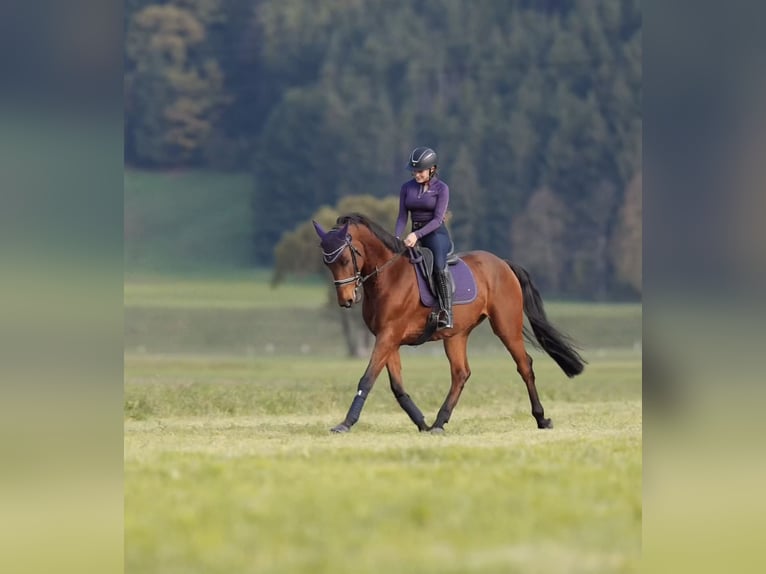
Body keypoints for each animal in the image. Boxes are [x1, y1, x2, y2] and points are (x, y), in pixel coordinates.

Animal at [312, 213, 585, 433]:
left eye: (345, 259)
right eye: (327, 263)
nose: (346, 300)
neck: (389, 277)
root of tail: (503, 263)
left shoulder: (389, 335)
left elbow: (367, 378)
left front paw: (345, 424)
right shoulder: (387, 338)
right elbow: (397, 386)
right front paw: (421, 422)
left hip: (506, 328)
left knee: (524, 366)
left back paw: (541, 419)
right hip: (456, 335)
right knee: (460, 373)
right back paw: (439, 423)